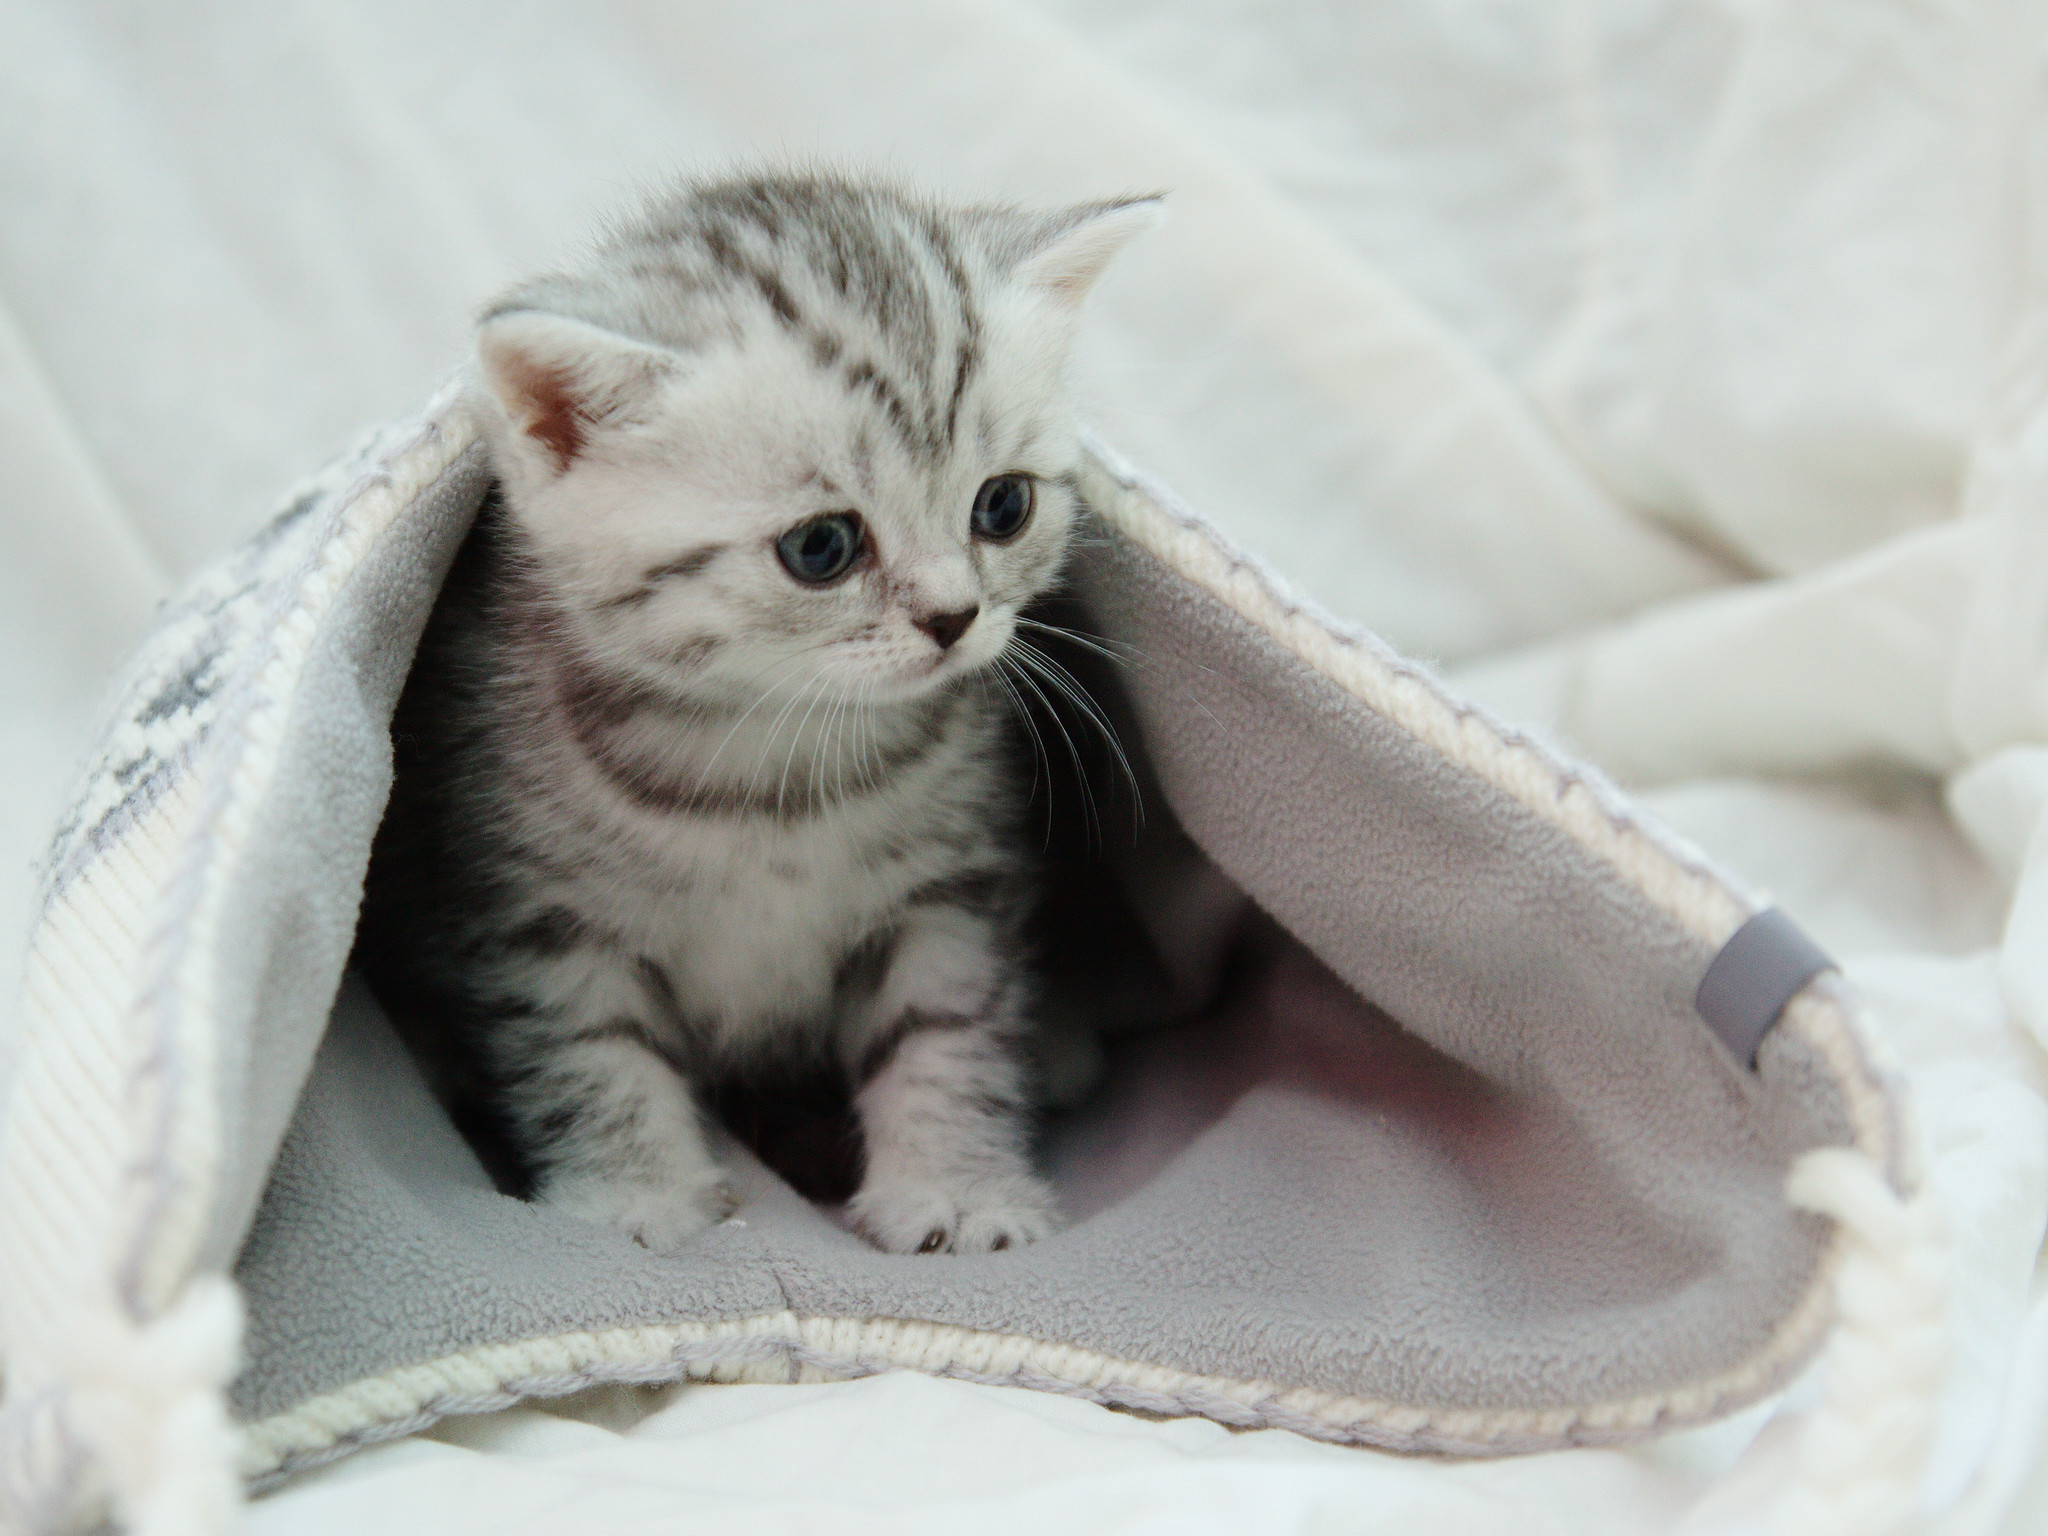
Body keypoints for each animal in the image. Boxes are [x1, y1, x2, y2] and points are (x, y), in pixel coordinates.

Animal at [354, 173, 1159, 1256]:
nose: (954, 617)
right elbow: (591, 1052)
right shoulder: (538, 919)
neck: (768, 766)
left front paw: (956, 1186)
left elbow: (943, 1029)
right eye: (821, 547)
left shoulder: (945, 892)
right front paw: (639, 1197)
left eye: (1002, 506)